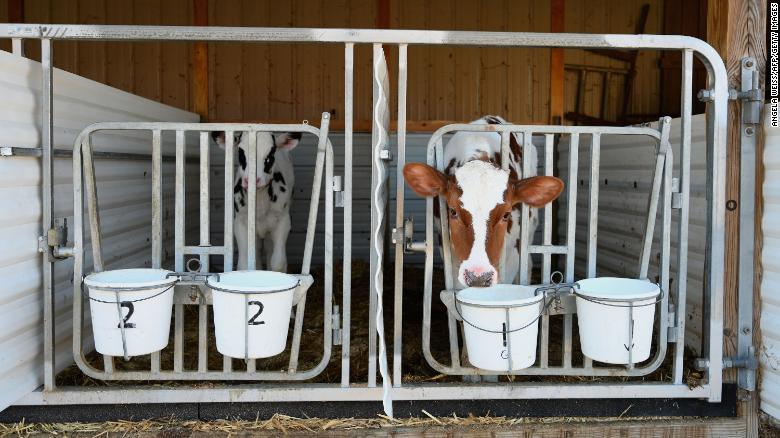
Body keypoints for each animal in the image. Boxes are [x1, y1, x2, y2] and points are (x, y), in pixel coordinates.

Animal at [210, 132, 302, 272]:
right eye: (240, 151)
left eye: (271, 152)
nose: (252, 179)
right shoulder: (240, 223)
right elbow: (245, 264)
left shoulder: (283, 221)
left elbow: (278, 263)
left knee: (269, 249)